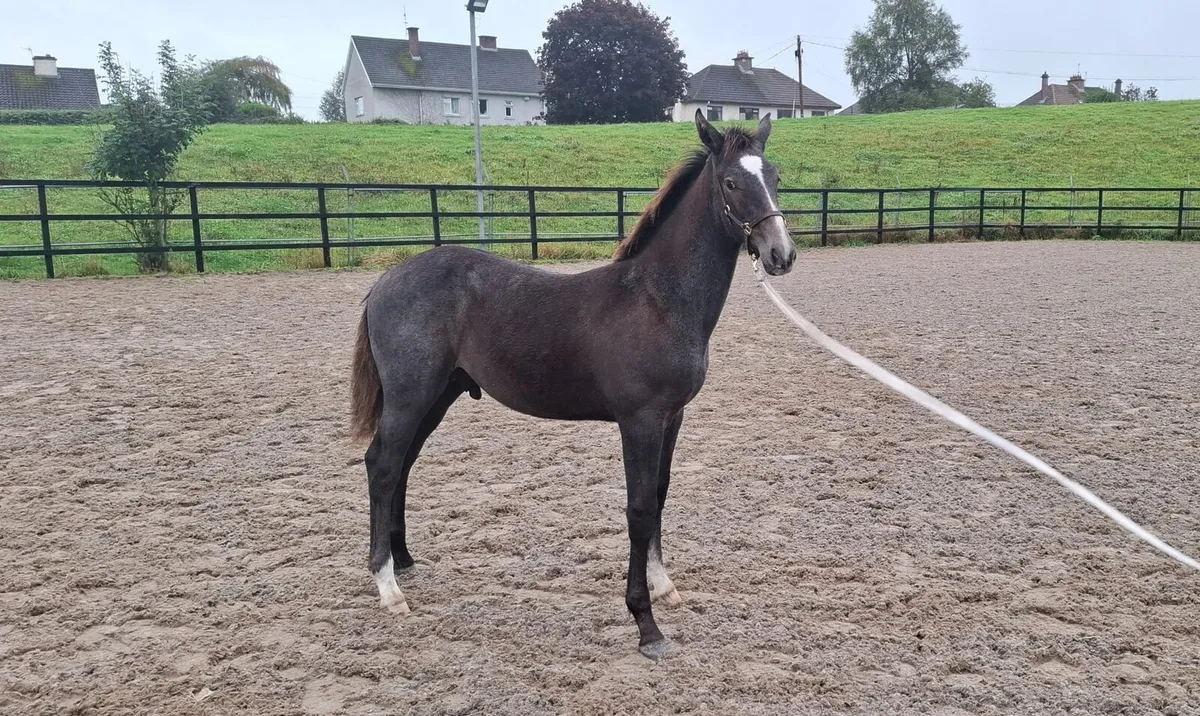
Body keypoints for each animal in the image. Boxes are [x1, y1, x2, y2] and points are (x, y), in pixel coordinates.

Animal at [349, 110, 797, 660]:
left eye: (774, 176)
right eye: (732, 182)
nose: (780, 254)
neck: (660, 300)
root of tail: (385, 281)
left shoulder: (673, 416)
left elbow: (660, 495)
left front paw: (663, 586)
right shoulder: (639, 420)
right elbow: (639, 508)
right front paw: (646, 625)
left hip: (436, 396)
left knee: (402, 466)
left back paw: (405, 560)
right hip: (410, 396)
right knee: (382, 465)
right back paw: (388, 587)